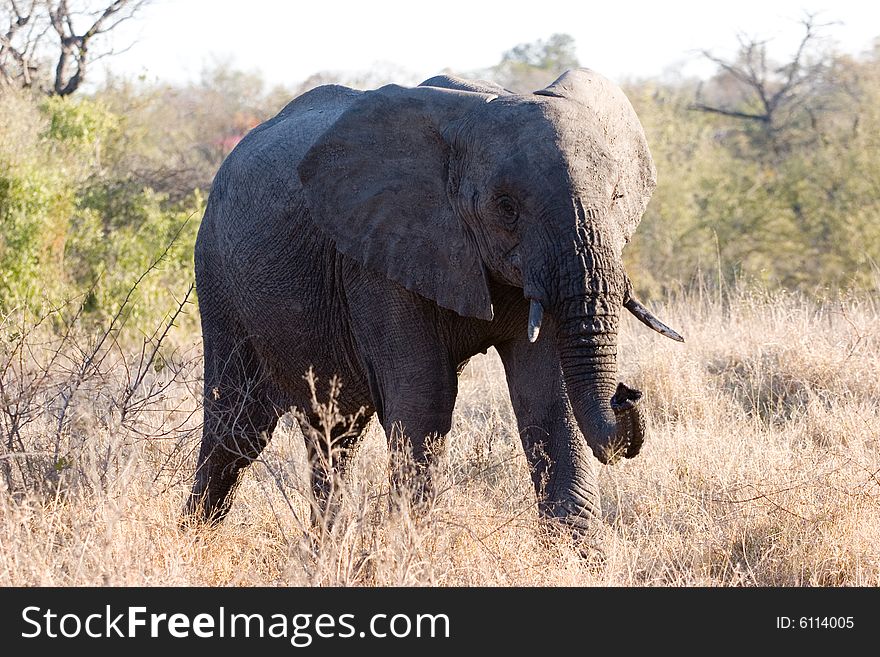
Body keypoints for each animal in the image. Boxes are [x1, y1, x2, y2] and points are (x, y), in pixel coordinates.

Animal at [184, 66, 680, 540]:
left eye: (617, 197)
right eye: (506, 207)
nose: (628, 393)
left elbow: (549, 397)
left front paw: (577, 555)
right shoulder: (378, 255)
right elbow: (425, 399)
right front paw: (405, 551)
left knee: (333, 432)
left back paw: (323, 549)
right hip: (217, 278)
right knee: (237, 430)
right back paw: (197, 538)